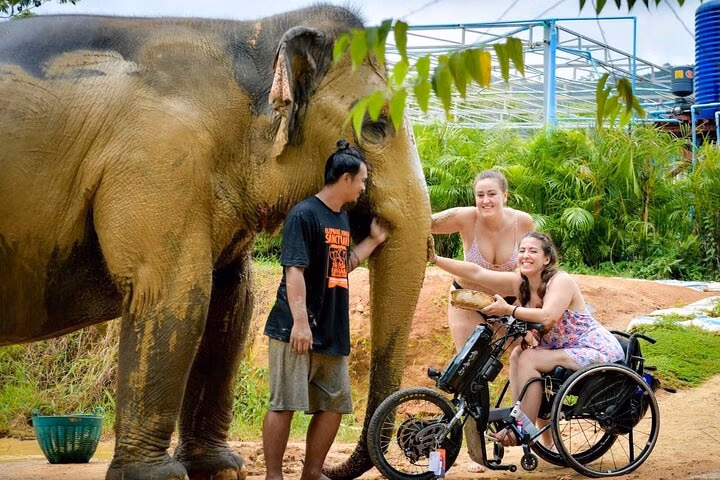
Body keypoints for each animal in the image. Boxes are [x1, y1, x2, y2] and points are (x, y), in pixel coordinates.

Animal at [0, 5, 431, 480]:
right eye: (376, 126)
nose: (329, 469)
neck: (246, 41)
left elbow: (232, 305)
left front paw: (221, 469)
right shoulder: (160, 159)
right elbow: (176, 293)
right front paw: (159, 477)